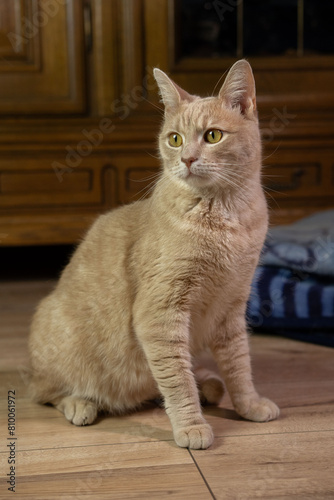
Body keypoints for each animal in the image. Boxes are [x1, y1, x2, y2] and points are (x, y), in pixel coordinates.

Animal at [28, 59, 280, 450]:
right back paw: (81, 404)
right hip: (56, 337)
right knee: (45, 391)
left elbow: (239, 365)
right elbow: (177, 380)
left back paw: (207, 382)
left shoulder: (232, 307)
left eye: (213, 136)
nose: (187, 159)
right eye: (174, 139)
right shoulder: (159, 313)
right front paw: (191, 425)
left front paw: (248, 405)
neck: (223, 215)